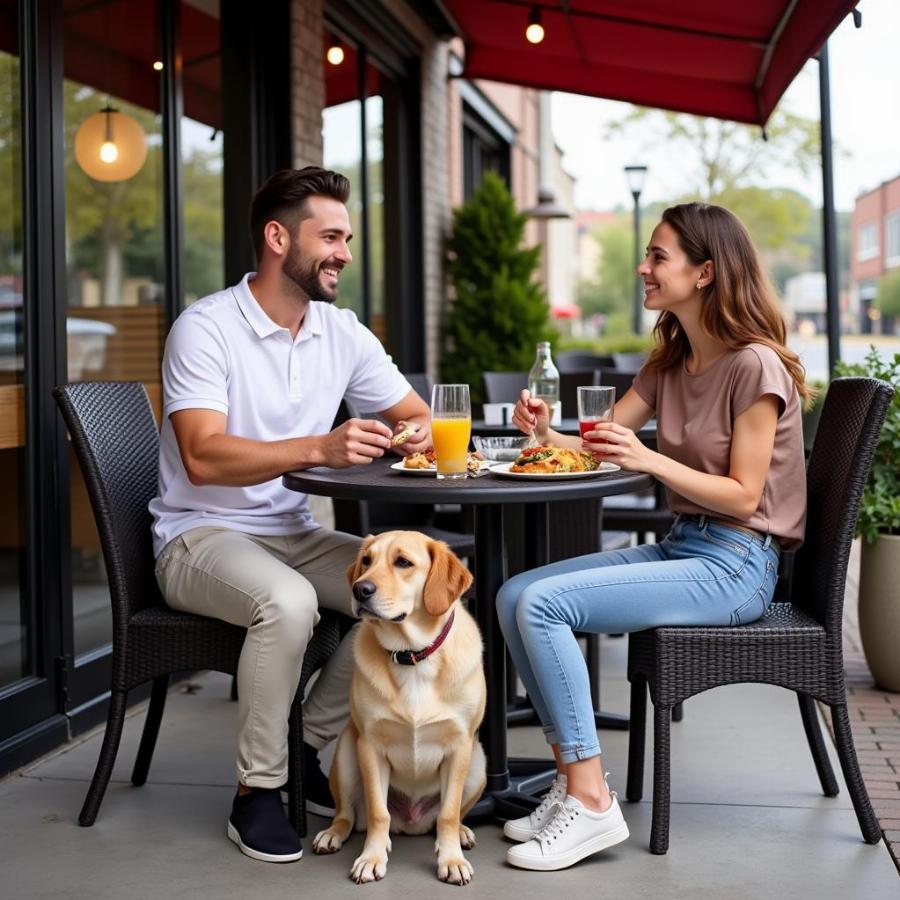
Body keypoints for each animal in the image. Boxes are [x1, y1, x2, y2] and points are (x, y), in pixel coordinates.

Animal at [314, 532, 488, 884]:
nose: (360, 589)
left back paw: (462, 833)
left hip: (479, 763)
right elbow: (378, 814)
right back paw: (333, 834)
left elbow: (448, 814)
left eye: (403, 562)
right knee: (347, 815)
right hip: (347, 753)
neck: (412, 655)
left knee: (450, 817)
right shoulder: (370, 746)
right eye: (367, 561)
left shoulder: (460, 746)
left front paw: (452, 859)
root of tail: (411, 823)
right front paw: (371, 857)